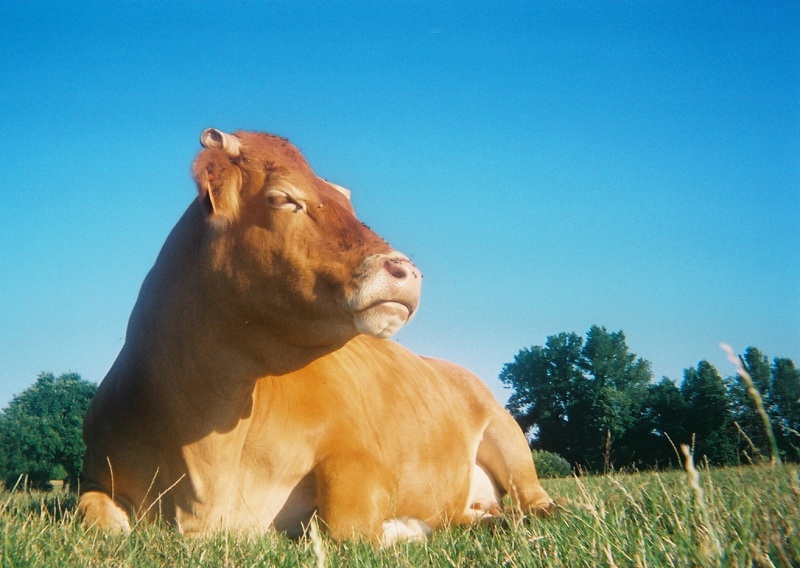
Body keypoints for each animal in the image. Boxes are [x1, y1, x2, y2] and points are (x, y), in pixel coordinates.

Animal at [79, 130, 556, 544]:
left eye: (345, 201)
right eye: (283, 198)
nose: (405, 271)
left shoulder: (358, 458)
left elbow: (347, 524)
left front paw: (408, 526)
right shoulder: (96, 472)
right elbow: (93, 517)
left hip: (508, 436)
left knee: (536, 502)